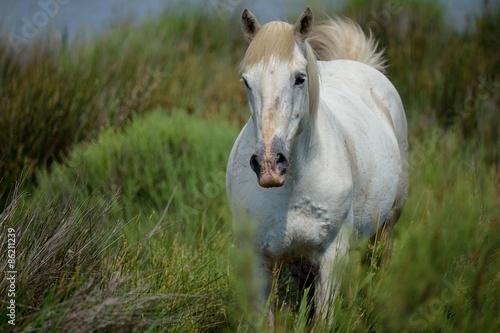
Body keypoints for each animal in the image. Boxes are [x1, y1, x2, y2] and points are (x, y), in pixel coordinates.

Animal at [227, 6, 410, 326]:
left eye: (300, 78)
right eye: (247, 81)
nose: (269, 165)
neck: (292, 188)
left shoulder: (333, 255)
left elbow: (324, 318)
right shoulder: (258, 259)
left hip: (387, 225)